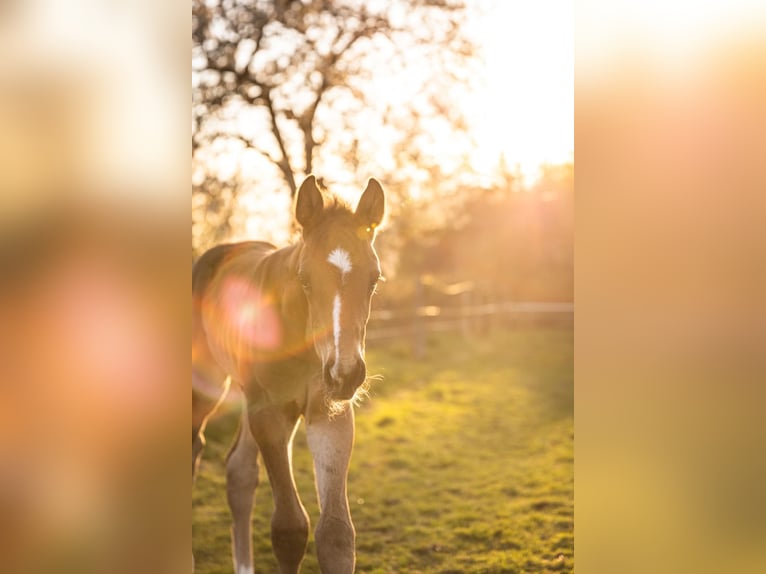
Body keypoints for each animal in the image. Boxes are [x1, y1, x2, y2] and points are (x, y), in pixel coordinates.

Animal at [192, 175, 385, 574]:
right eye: (305, 279)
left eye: (374, 280)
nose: (345, 374)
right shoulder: (268, 412)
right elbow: (289, 528)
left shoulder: (328, 414)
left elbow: (336, 533)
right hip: (208, 385)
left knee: (239, 472)